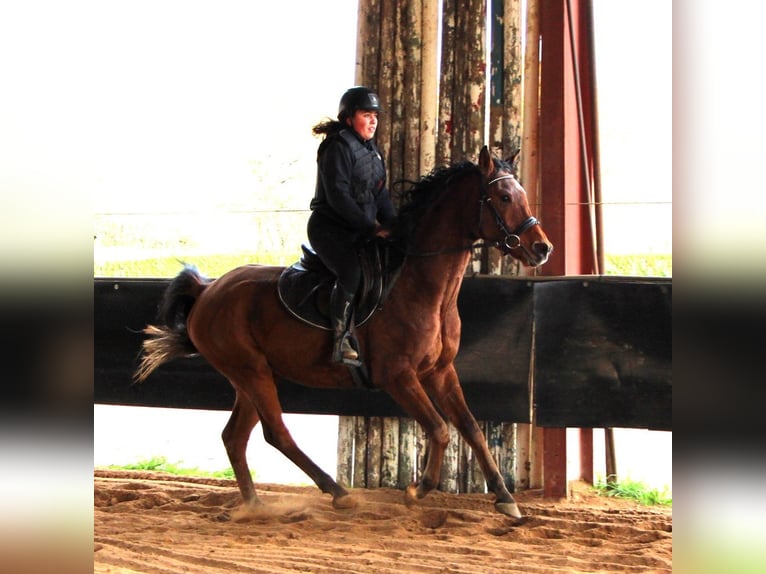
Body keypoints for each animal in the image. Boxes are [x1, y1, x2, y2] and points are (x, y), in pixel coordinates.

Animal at [134, 145, 552, 520]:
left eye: (521, 195)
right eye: (503, 196)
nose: (542, 248)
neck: (421, 286)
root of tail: (207, 290)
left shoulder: (440, 371)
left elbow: (469, 427)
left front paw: (505, 499)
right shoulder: (398, 376)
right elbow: (439, 429)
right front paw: (418, 490)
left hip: (250, 378)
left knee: (236, 437)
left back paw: (254, 505)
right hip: (251, 373)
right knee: (276, 433)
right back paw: (337, 493)